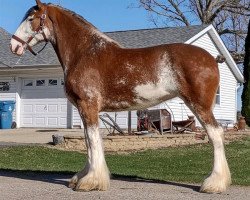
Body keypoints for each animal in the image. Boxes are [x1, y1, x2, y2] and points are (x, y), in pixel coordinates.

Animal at [10, 0, 231, 194]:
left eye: (31, 19)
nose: (14, 46)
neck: (85, 53)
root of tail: (212, 58)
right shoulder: (84, 109)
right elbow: (88, 142)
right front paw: (82, 177)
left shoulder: (88, 106)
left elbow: (93, 141)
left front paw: (90, 181)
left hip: (199, 105)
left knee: (216, 134)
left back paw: (213, 184)